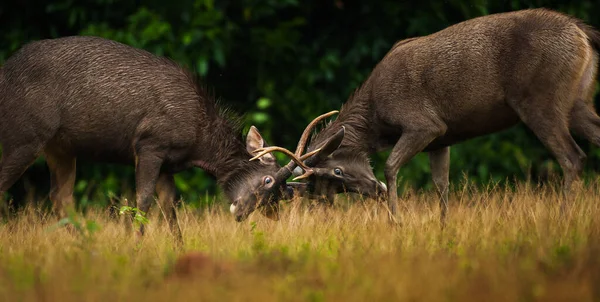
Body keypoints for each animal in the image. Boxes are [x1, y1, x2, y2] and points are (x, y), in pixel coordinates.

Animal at [0, 35, 338, 239]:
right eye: (268, 181)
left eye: (282, 194)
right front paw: (135, 245)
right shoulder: (150, 144)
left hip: (60, 147)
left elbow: (170, 209)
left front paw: (178, 248)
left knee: (60, 197)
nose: (241, 214)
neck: (199, 145)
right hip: (25, 134)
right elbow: (143, 201)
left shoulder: (168, 164)